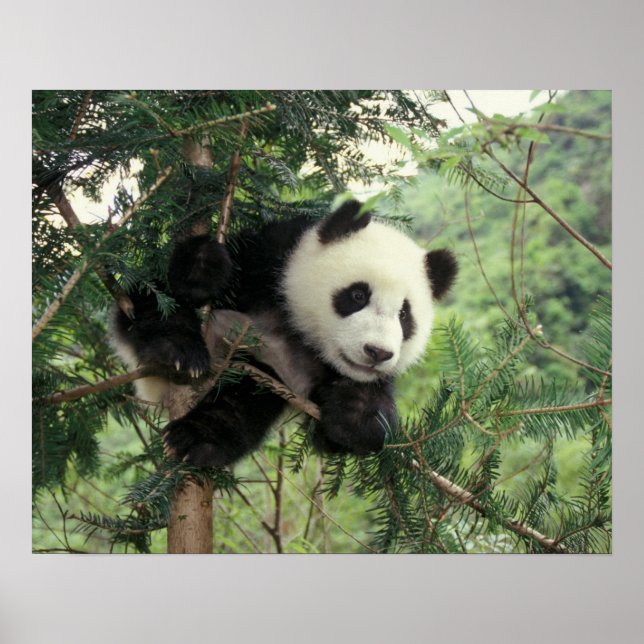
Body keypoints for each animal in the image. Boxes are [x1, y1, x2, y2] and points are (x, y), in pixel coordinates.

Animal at [112, 200, 457, 467]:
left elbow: (347, 432)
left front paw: (354, 411)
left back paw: (199, 439)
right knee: (152, 302)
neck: (297, 329)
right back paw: (177, 355)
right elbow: (170, 287)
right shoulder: (270, 260)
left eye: (404, 315)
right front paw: (203, 268)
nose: (377, 352)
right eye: (358, 295)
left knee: (244, 398)